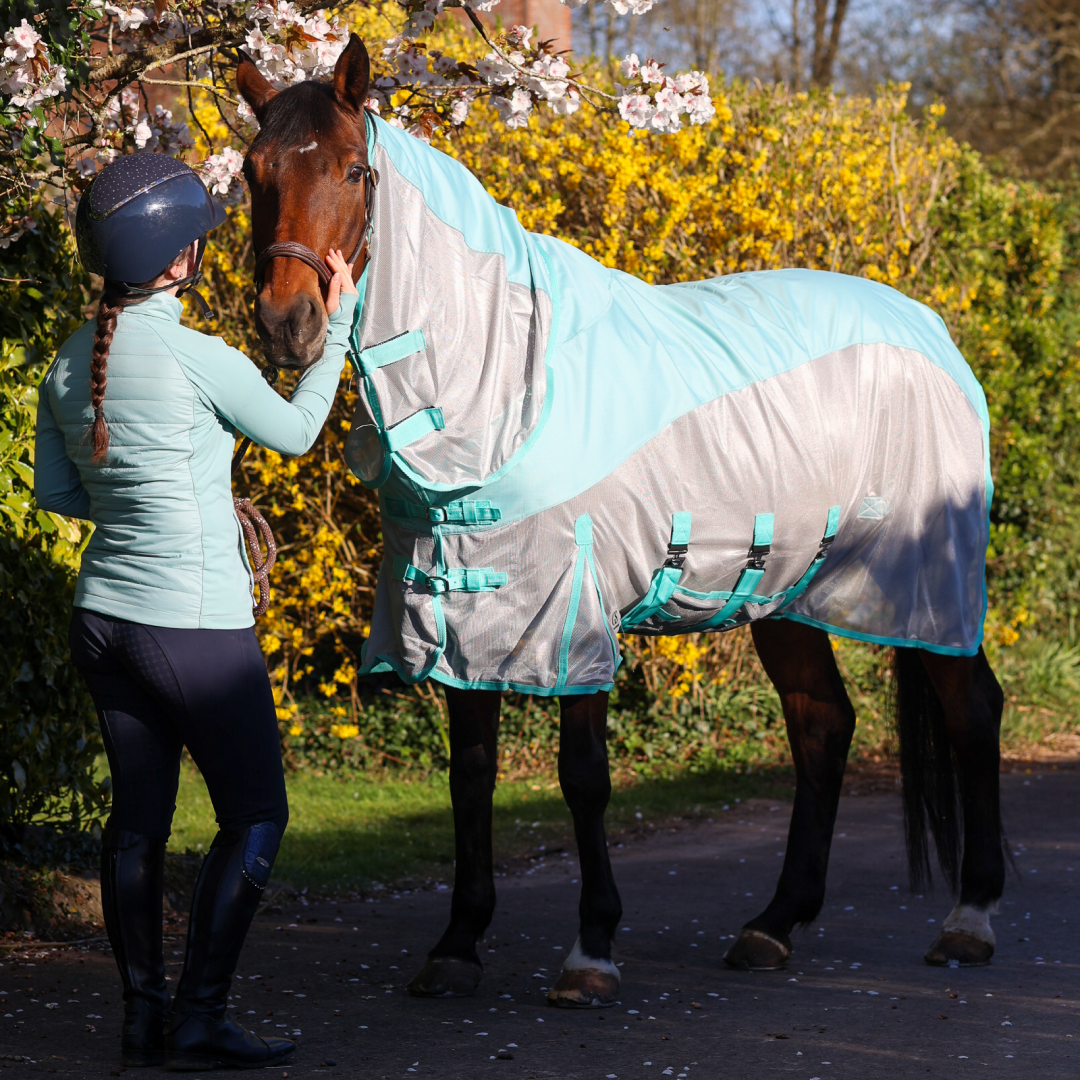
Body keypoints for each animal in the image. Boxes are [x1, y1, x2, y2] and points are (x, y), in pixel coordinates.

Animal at [235, 35, 1008, 1007]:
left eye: (352, 169)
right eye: (253, 171)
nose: (287, 324)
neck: (506, 383)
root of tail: (931, 334)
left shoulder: (574, 605)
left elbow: (584, 778)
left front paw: (591, 949)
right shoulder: (459, 605)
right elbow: (471, 775)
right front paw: (457, 943)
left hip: (929, 578)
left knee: (971, 710)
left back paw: (969, 920)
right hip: (783, 590)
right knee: (822, 724)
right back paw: (773, 924)